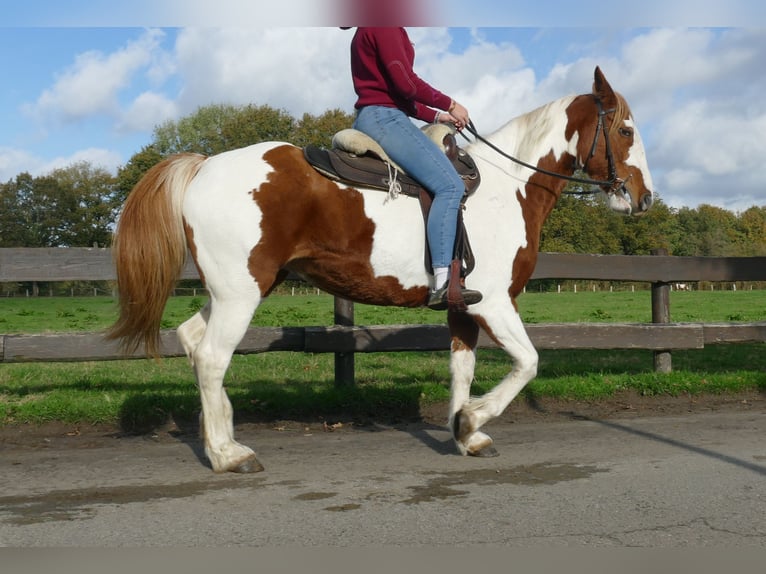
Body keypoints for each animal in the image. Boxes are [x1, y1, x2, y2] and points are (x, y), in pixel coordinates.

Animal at [111, 67, 656, 474]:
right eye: (626, 130)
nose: (644, 197)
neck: (510, 186)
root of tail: (203, 165)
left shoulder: (464, 307)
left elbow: (462, 369)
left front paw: (466, 435)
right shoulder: (497, 303)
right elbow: (528, 363)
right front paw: (471, 420)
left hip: (237, 289)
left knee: (191, 340)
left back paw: (217, 436)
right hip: (240, 294)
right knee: (211, 358)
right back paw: (228, 454)